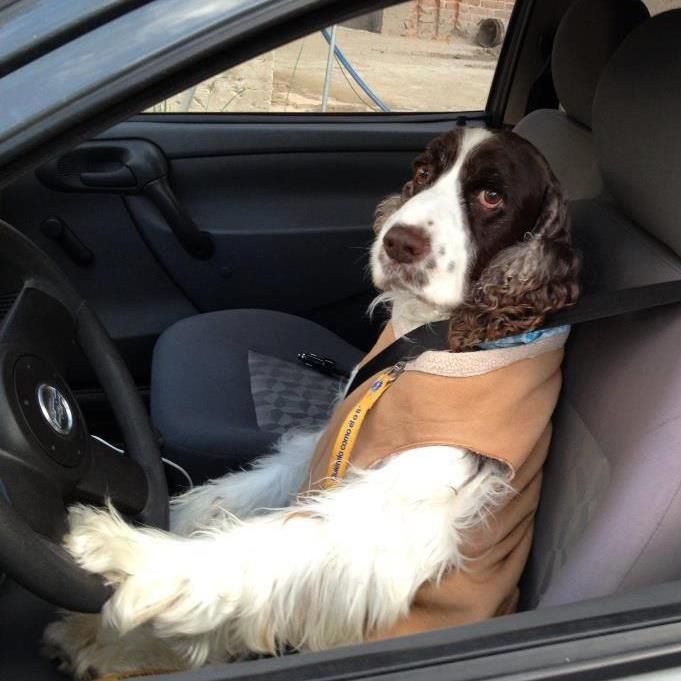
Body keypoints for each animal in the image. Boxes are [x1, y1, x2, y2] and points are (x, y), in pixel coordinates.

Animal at [43, 126, 580, 676]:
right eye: (425, 171)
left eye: (491, 195)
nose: (398, 242)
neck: (432, 341)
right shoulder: (327, 435)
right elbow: (235, 495)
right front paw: (165, 518)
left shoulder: (400, 513)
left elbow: (264, 545)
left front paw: (130, 554)